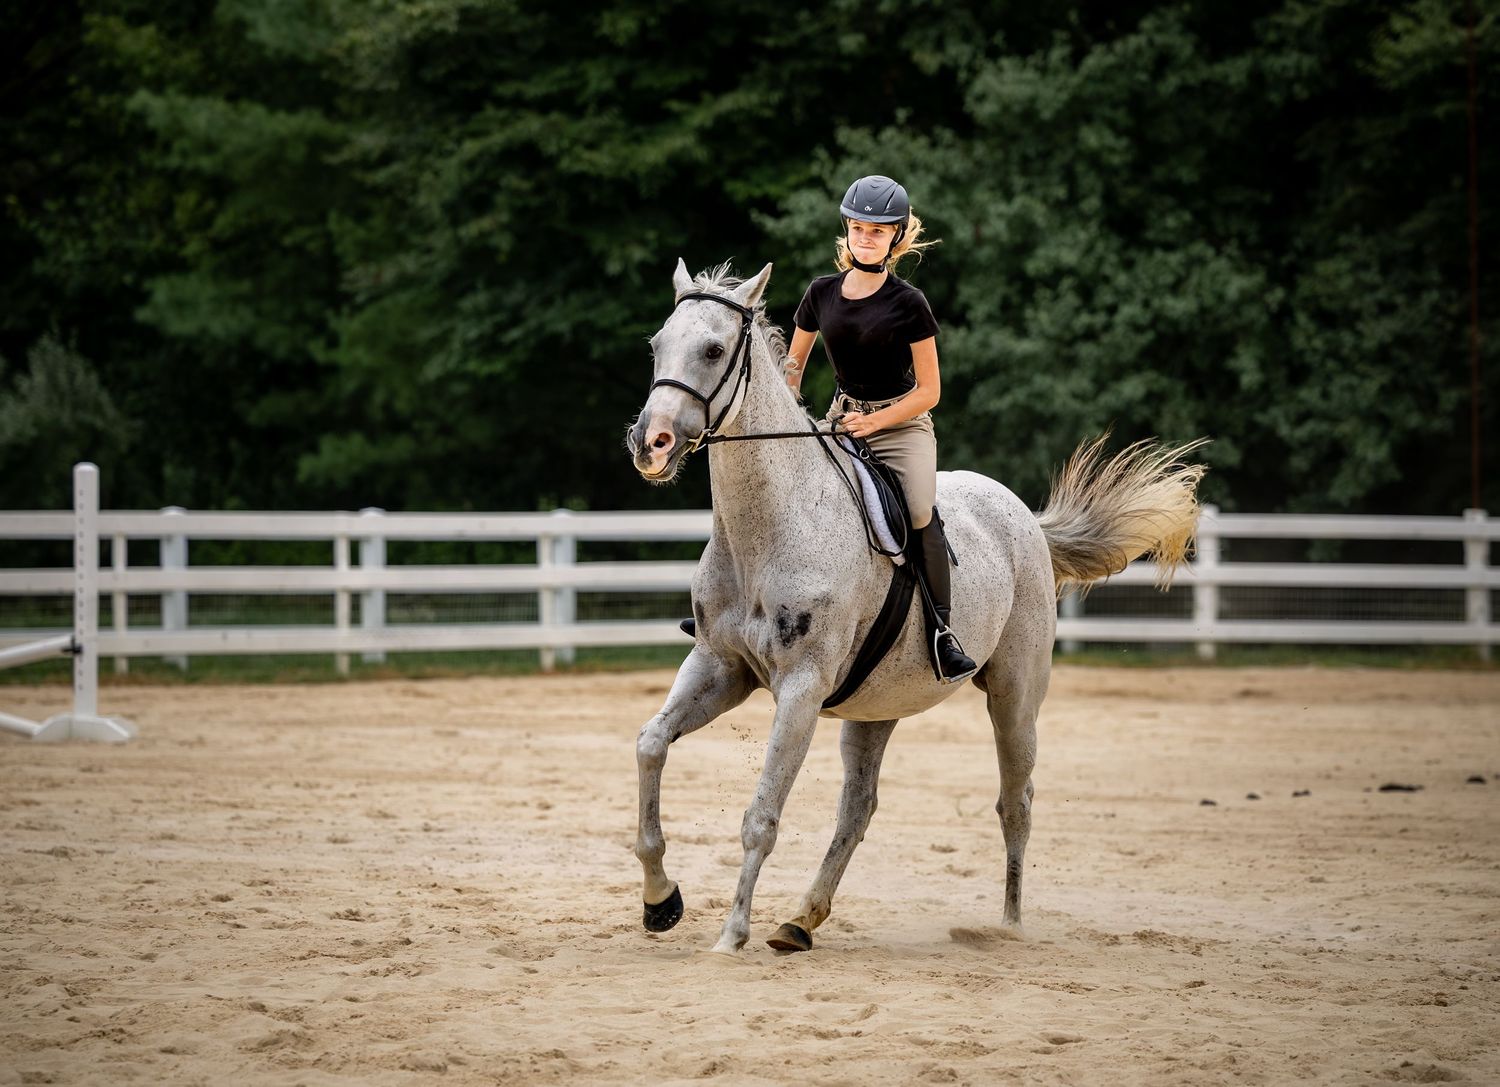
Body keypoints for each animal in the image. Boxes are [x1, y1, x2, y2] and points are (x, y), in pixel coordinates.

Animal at [625, 259, 1204, 954]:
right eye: (656, 345)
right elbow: (651, 744)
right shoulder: (719, 667)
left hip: (1014, 696)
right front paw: (661, 900)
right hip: (877, 704)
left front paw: (731, 935)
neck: (767, 526)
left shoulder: (800, 687)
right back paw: (801, 919)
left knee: (1016, 800)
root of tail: (1025, 518)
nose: (650, 443)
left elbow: (761, 815)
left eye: (713, 350)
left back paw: (1008, 925)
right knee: (859, 808)